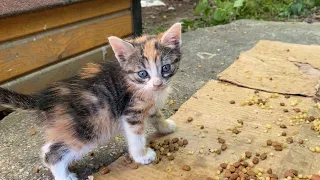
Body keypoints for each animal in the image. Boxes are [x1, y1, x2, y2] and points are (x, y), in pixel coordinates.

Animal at [0, 22, 181, 180]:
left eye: (165, 68)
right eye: (143, 73)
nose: (157, 84)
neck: (136, 84)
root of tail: (44, 98)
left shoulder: (148, 105)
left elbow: (156, 114)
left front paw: (165, 127)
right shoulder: (131, 112)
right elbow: (136, 137)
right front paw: (142, 156)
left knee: (48, 148)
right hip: (88, 128)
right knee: (52, 153)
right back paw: (63, 176)